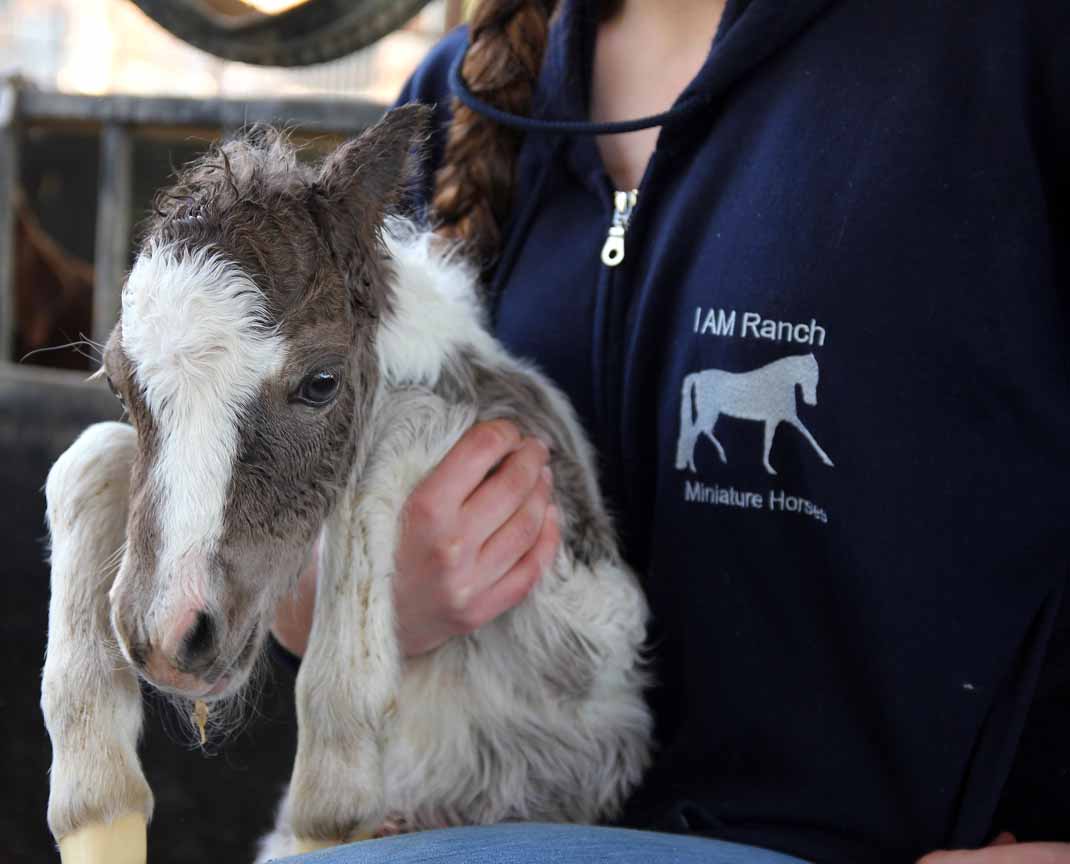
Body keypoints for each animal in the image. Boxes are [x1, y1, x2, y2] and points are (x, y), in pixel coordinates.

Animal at [40, 105, 651, 863]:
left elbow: (385, 448)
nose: (170, 634)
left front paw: (332, 798)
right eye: (119, 384)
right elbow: (87, 457)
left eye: (321, 383)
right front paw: (94, 799)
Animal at [675, 353, 835, 475]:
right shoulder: (775, 418)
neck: (780, 381)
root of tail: (699, 375)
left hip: (712, 413)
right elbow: (770, 441)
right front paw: (769, 468)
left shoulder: (787, 417)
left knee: (705, 430)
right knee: (693, 433)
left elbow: (807, 434)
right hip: (708, 412)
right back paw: (693, 466)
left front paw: (827, 459)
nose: (812, 402)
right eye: (809, 375)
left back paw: (722, 456)